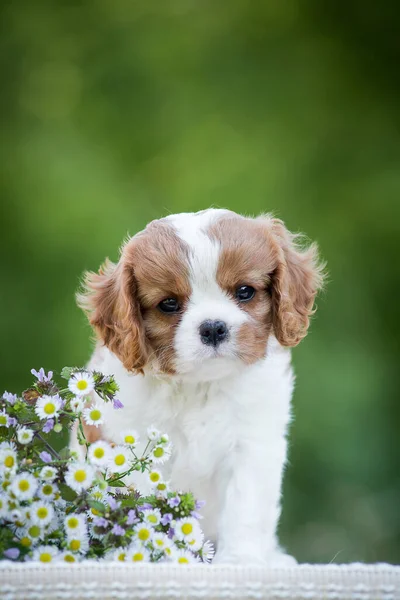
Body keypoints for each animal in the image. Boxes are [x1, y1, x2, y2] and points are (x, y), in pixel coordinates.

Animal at [72, 209, 324, 564]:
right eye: (168, 304)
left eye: (245, 291)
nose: (214, 328)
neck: (200, 385)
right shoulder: (129, 445)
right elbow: (144, 505)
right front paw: (150, 554)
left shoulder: (252, 446)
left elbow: (245, 509)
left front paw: (240, 560)